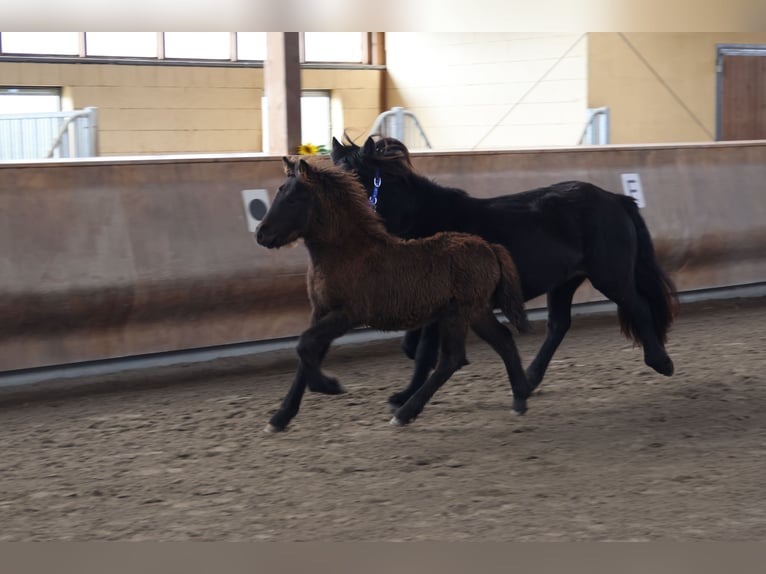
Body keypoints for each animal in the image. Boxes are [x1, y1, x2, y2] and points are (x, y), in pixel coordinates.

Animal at [255, 157, 532, 432]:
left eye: (292, 199)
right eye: (279, 192)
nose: (261, 234)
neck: (347, 252)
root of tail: (490, 247)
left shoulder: (348, 314)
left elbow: (305, 345)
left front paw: (330, 386)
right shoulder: (321, 311)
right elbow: (307, 354)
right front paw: (280, 418)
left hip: (458, 314)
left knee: (452, 359)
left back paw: (404, 413)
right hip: (476, 312)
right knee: (503, 340)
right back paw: (520, 398)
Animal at [331, 136, 679, 411]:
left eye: (354, 178)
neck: (427, 220)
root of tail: (616, 199)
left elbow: (424, 351)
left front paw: (405, 399)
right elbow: (417, 349)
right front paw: (404, 397)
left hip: (610, 276)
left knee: (638, 306)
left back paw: (661, 362)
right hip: (564, 282)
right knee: (558, 325)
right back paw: (529, 379)